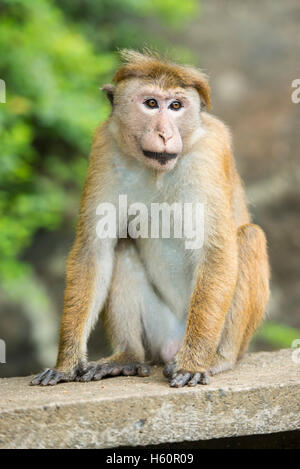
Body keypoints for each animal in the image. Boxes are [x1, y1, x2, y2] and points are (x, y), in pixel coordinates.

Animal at [31, 50, 270, 388]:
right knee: (121, 247)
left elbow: (217, 251)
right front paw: (66, 364)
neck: (157, 170)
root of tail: (172, 345)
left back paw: (217, 359)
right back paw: (127, 356)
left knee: (249, 237)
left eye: (176, 106)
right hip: (160, 332)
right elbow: (94, 249)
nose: (165, 134)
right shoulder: (105, 147)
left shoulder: (209, 152)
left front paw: (193, 364)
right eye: (151, 103)